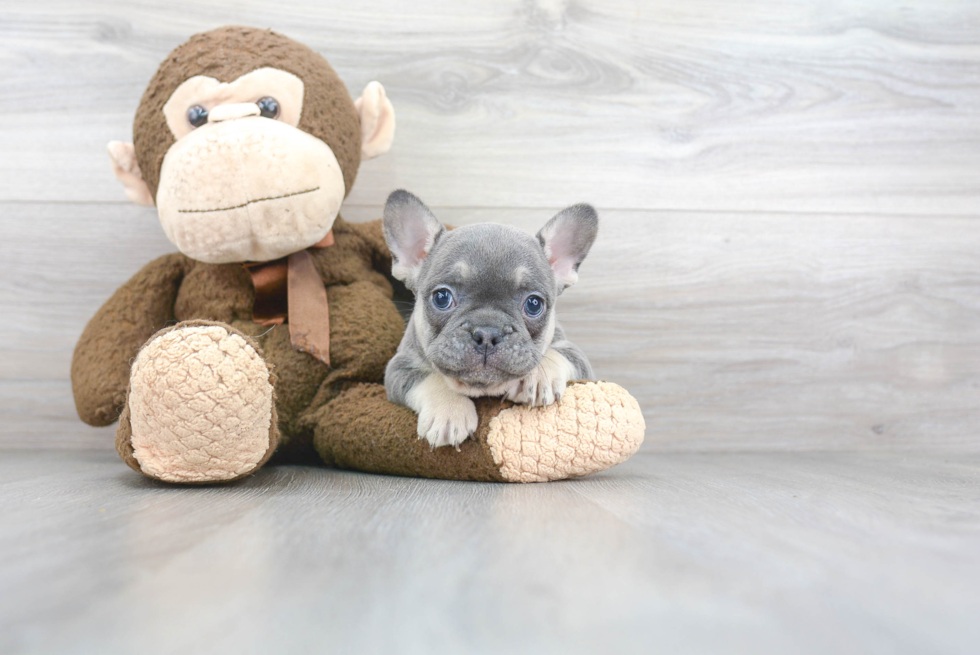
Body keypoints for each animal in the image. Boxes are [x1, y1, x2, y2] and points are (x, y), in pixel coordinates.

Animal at [382, 187, 596, 448]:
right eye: (441, 297)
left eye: (534, 304)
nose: (487, 333)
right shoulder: (399, 366)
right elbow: (429, 378)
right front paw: (448, 411)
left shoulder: (580, 361)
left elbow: (558, 354)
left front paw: (536, 377)